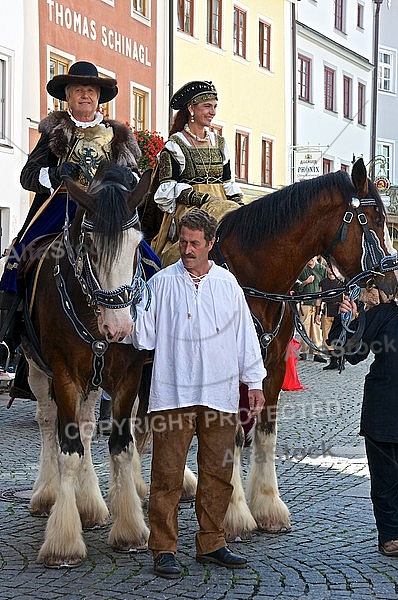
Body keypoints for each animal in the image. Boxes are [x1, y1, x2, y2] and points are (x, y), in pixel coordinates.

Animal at [20, 163, 154, 568]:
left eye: (137, 243)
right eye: (91, 246)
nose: (120, 327)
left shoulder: (127, 377)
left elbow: (121, 445)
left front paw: (130, 529)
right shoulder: (64, 374)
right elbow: (68, 449)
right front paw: (63, 541)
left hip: (93, 382)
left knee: (87, 424)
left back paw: (91, 503)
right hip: (37, 369)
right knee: (49, 422)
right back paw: (47, 495)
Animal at [210, 158, 396, 540]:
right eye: (375, 221)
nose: (392, 283)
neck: (255, 282)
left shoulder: (273, 367)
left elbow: (264, 433)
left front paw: (267, 506)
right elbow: (232, 435)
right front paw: (233, 512)